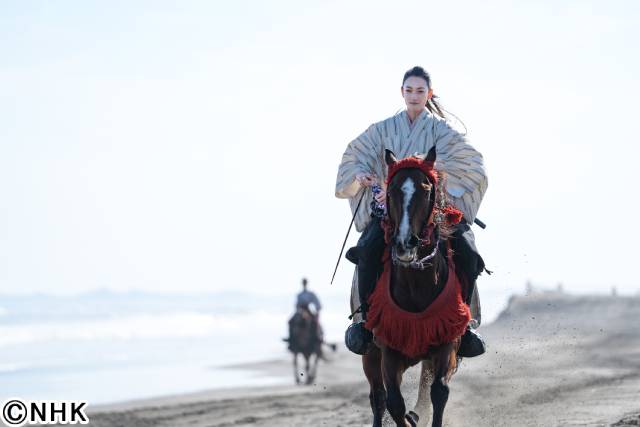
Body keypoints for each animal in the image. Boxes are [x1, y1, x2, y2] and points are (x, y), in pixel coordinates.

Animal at [360, 148, 470, 427]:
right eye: (391, 191)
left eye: (426, 190)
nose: (404, 243)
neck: (416, 284)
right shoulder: (388, 348)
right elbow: (394, 402)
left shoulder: (446, 340)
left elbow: (438, 391)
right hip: (370, 354)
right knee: (377, 397)